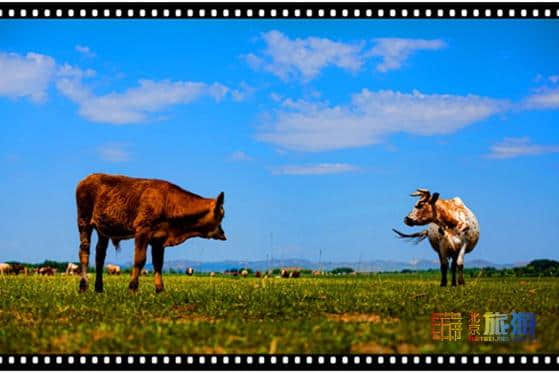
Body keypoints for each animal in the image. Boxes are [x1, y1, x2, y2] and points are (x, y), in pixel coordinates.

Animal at [75, 174, 226, 294]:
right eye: (220, 215)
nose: (223, 234)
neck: (167, 202)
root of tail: (87, 179)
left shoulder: (159, 240)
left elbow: (158, 263)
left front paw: (160, 289)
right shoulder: (142, 233)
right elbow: (139, 260)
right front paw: (133, 288)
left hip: (103, 232)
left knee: (100, 255)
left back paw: (99, 288)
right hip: (84, 223)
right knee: (84, 251)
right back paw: (83, 286)